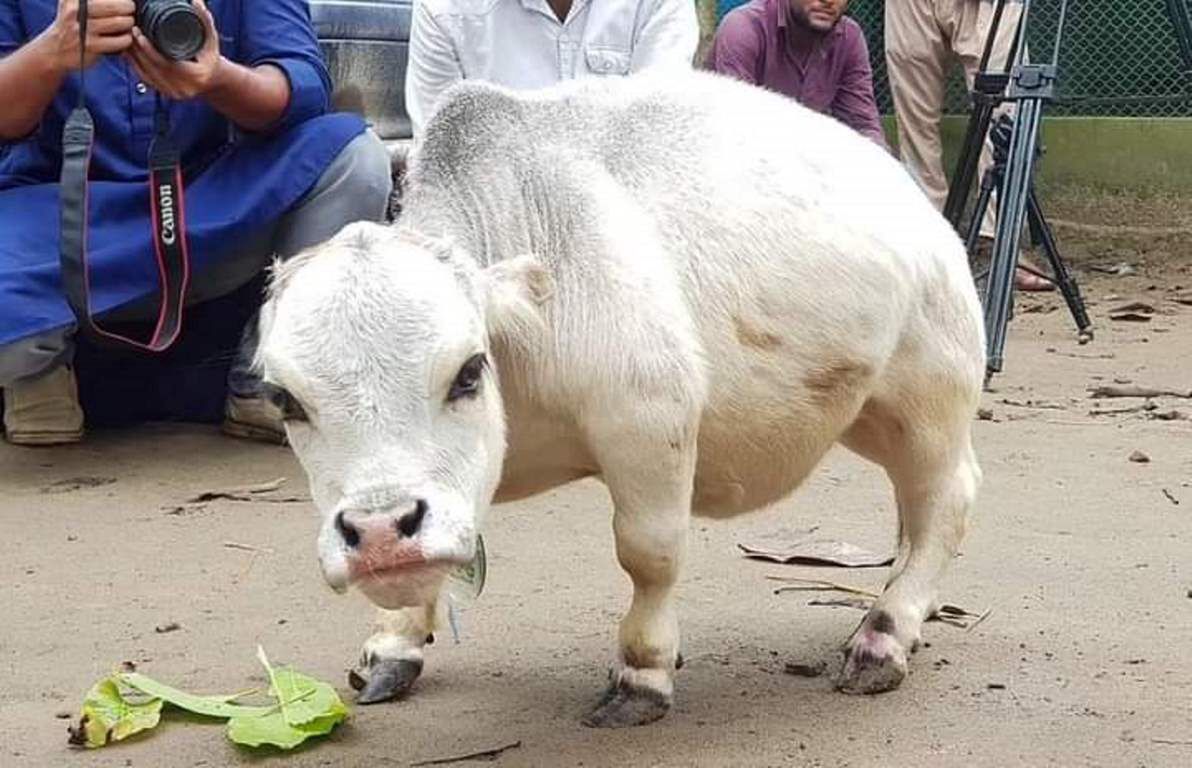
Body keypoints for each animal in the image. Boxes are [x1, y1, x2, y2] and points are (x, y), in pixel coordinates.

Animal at [253, 70, 986, 725]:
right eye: (284, 399)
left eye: (467, 371)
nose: (380, 532)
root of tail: (919, 207)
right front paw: (394, 640)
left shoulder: (647, 422)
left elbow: (648, 553)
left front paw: (644, 671)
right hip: (868, 415)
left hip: (927, 405)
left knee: (946, 501)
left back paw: (886, 631)